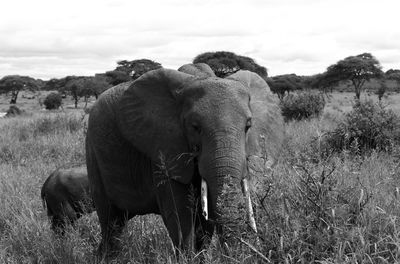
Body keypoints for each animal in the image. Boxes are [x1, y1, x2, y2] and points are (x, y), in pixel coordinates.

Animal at [85, 63, 282, 256]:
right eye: (195, 127)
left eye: (248, 126)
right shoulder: (162, 149)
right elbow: (179, 214)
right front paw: (187, 257)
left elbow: (206, 216)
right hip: (93, 153)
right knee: (110, 221)